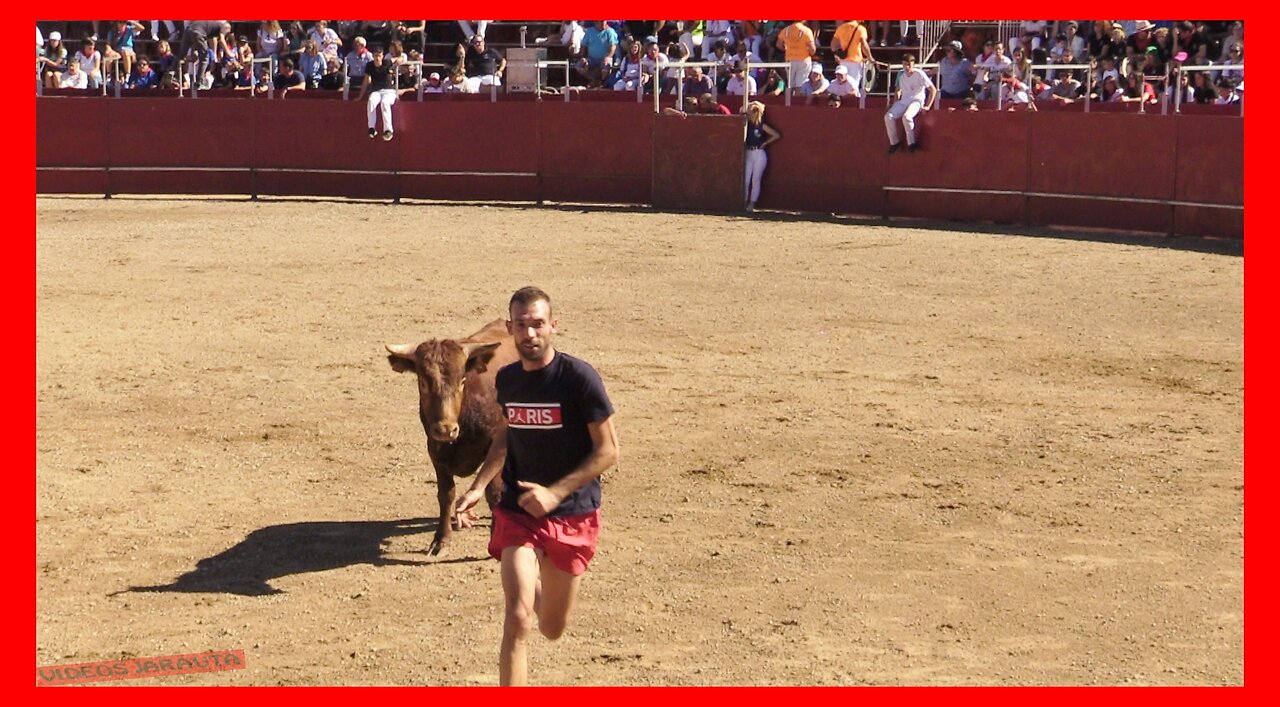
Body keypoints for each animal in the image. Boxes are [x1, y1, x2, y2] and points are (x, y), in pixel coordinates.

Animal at [384, 317, 514, 555]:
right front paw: (441, 539)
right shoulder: (435, 450)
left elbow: (493, 492)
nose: (446, 429)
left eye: (462, 380)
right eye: (423, 383)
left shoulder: (497, 444)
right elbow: (446, 494)